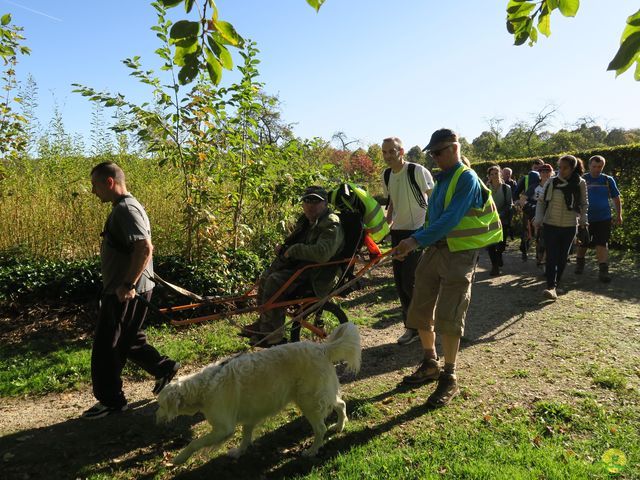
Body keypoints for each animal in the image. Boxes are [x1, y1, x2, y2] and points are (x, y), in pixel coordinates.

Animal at [155, 320, 360, 464]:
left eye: (161, 405)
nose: (156, 418)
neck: (204, 388)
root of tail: (322, 348)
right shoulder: (249, 416)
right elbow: (245, 436)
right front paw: (239, 452)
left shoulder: (223, 428)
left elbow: (195, 443)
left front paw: (179, 458)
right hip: (320, 395)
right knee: (340, 403)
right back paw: (339, 425)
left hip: (308, 401)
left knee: (320, 428)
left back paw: (312, 451)